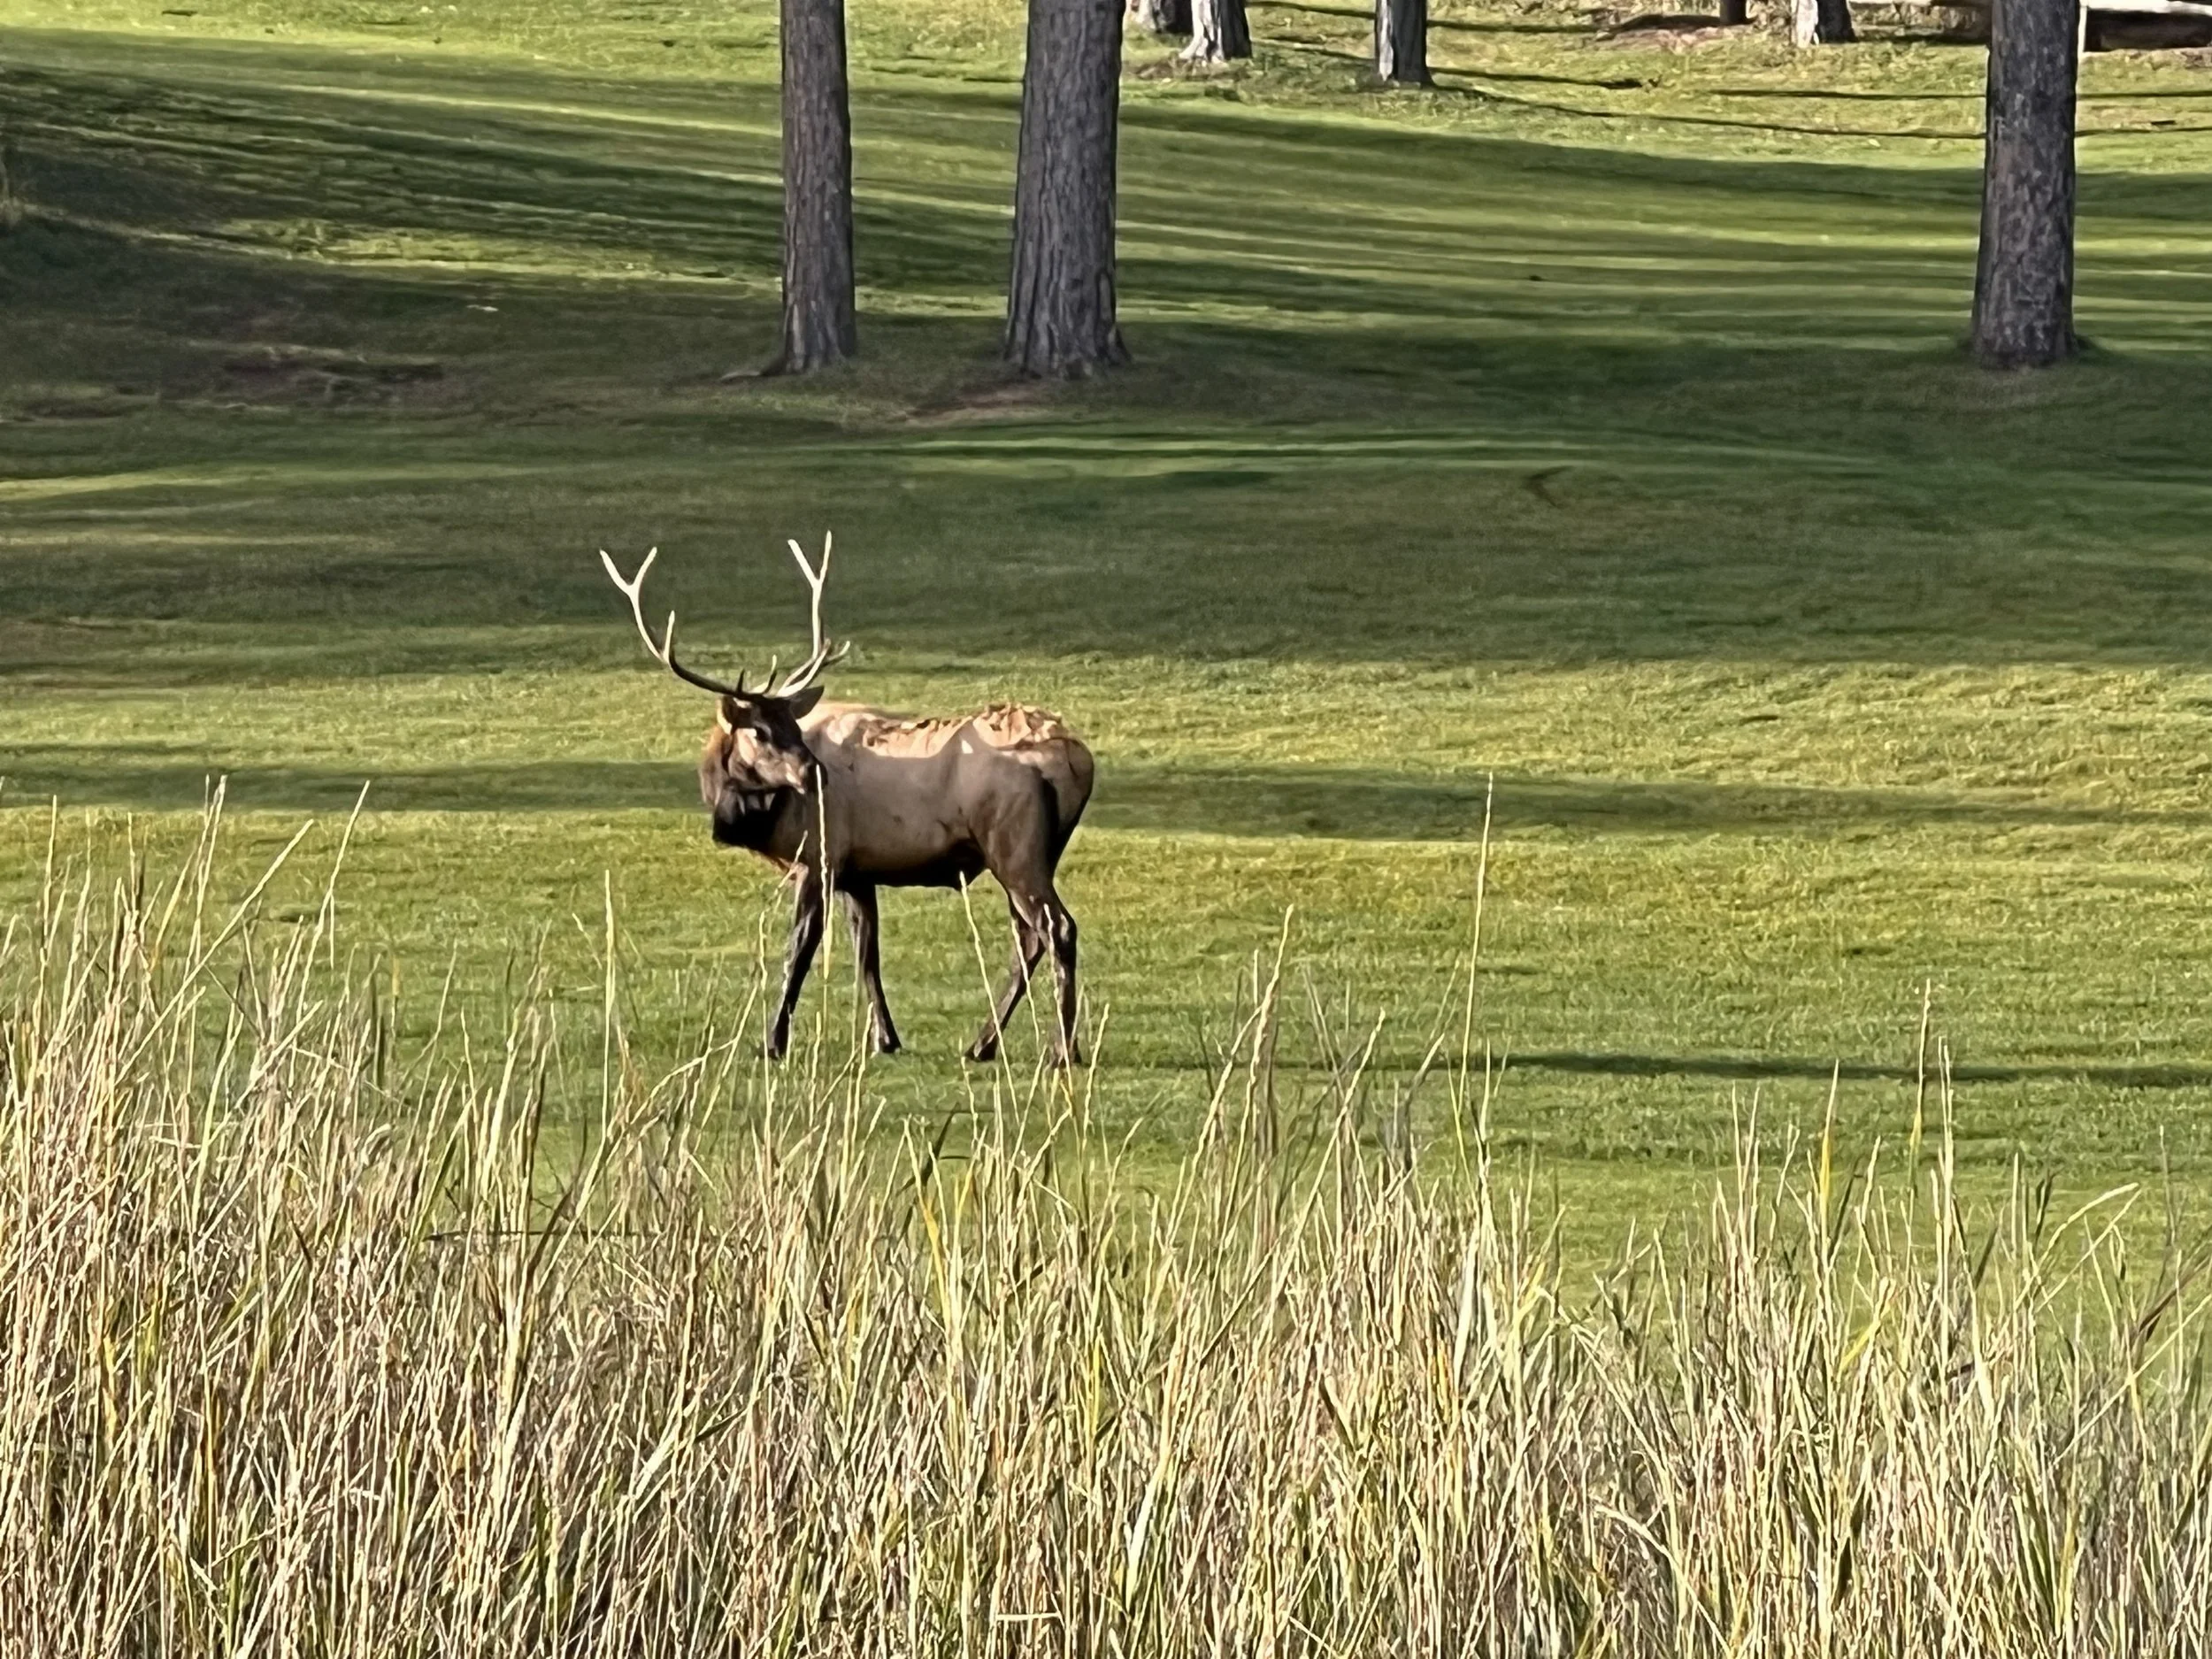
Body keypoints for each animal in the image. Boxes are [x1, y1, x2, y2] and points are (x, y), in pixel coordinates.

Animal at [600, 539, 1094, 1066]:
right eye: (760, 730)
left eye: (792, 727)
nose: (815, 772)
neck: (759, 819)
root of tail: (1078, 761)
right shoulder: (858, 871)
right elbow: (866, 952)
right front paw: (885, 1038)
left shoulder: (818, 856)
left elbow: (799, 950)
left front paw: (773, 1040)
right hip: (1033, 853)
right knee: (1028, 936)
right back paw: (982, 1043)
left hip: (1013, 845)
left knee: (1057, 928)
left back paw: (1063, 1048)